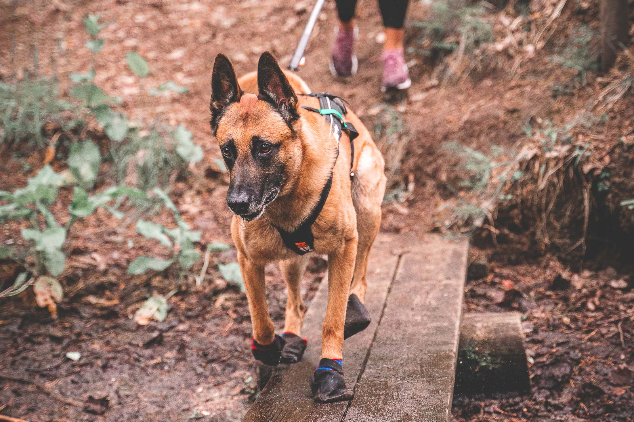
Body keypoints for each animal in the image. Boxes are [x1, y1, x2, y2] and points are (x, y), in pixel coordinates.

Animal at [210, 52, 382, 402]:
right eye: (227, 150)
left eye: (264, 147)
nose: (236, 203)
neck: (288, 199)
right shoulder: (248, 261)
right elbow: (261, 321)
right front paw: (268, 350)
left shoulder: (345, 248)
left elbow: (333, 317)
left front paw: (331, 372)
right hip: (290, 261)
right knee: (296, 302)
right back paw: (290, 337)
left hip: (368, 209)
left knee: (360, 279)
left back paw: (356, 308)